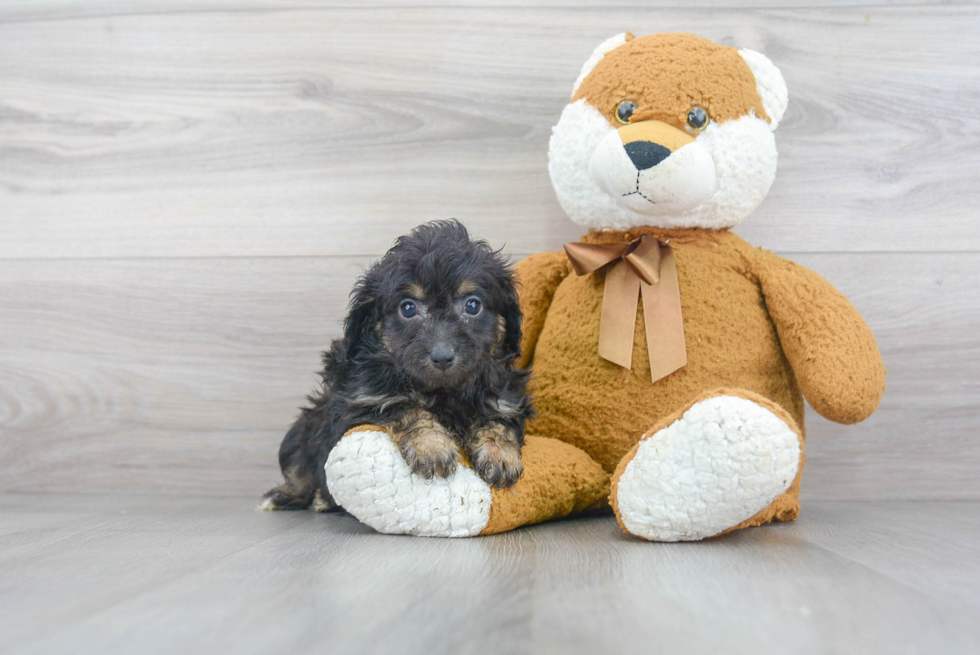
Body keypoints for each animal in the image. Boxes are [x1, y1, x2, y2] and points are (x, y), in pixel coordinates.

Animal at [264, 220, 532, 512]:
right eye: (408, 308)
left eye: (473, 305)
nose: (442, 356)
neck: (443, 391)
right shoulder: (360, 402)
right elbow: (407, 406)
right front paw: (432, 447)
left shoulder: (505, 398)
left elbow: (499, 421)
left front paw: (500, 455)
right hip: (303, 429)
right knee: (299, 467)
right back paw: (293, 496)